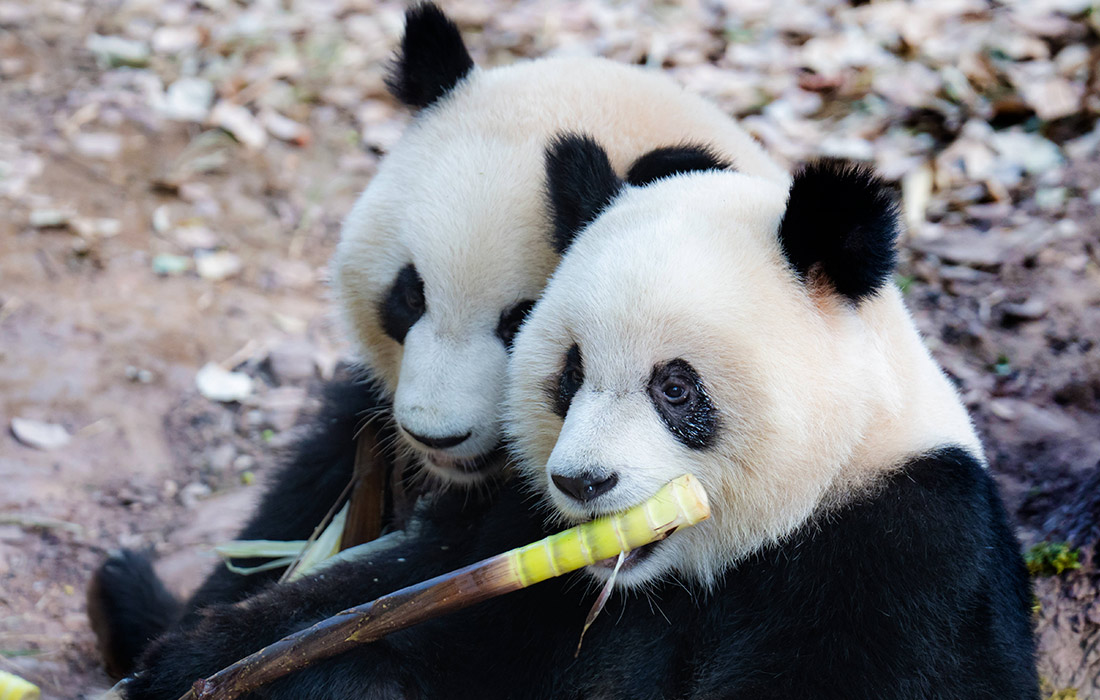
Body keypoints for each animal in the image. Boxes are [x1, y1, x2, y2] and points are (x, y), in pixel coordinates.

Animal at [88, 0, 792, 682]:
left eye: (521, 319)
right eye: (409, 295)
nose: (436, 436)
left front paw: (199, 656)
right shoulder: (370, 422)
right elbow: (302, 503)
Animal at [107, 136, 1034, 700]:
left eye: (676, 389)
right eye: (570, 372)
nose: (585, 482)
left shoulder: (899, 554)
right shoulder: (525, 551)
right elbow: (400, 610)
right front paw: (192, 660)